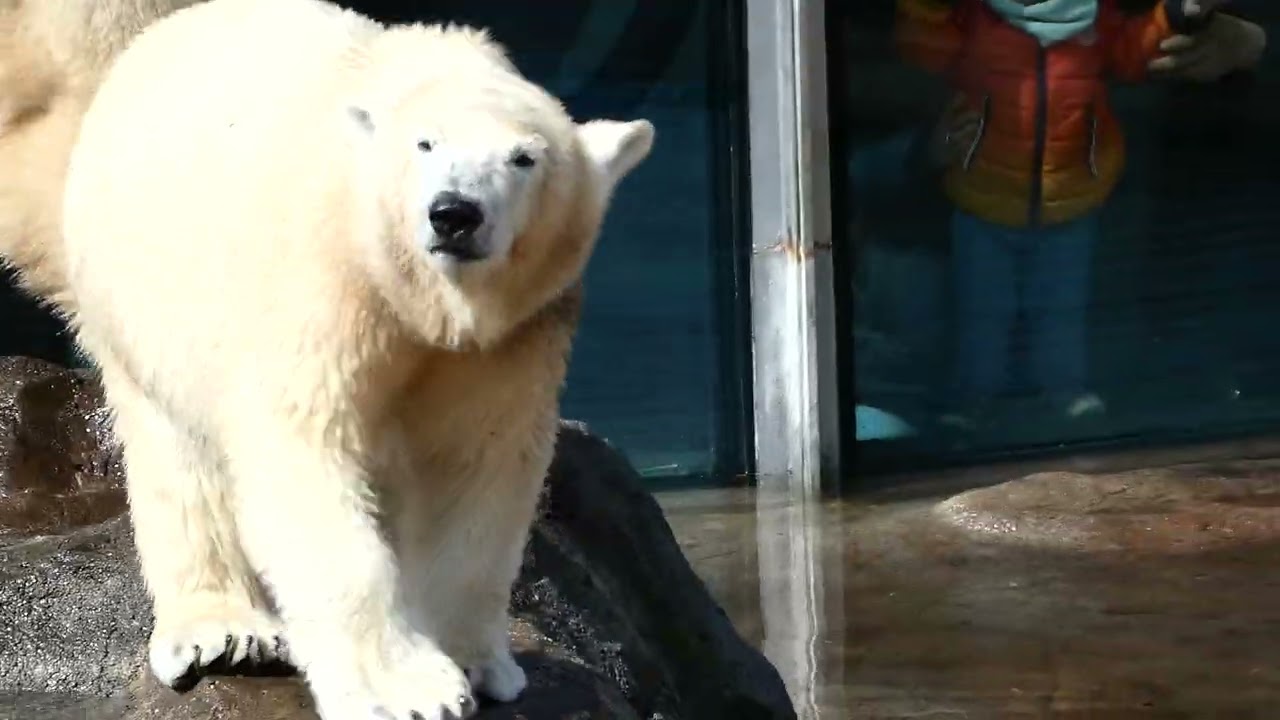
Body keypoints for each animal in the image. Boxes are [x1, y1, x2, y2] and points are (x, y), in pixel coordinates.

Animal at [55, 0, 655, 717]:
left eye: (523, 158)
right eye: (424, 145)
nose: (455, 214)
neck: (422, 299)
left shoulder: (510, 339)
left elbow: (477, 468)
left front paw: (477, 663)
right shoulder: (323, 285)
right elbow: (307, 456)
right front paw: (406, 689)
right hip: (141, 296)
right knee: (180, 457)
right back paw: (222, 633)